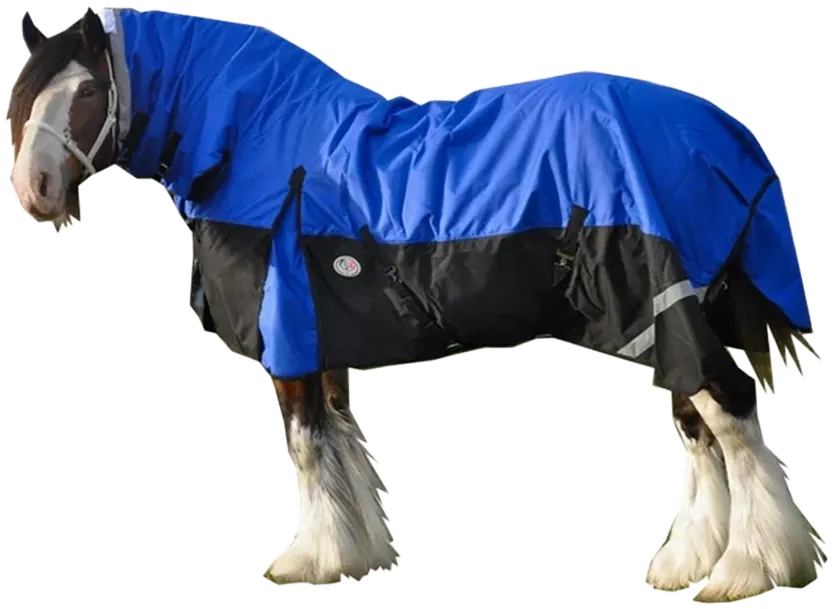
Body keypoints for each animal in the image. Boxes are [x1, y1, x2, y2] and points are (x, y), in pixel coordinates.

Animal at [8, 8, 829, 601]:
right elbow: (340, 444)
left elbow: (307, 448)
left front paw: (303, 562)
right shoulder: (324, 341)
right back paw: (687, 562)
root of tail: (722, 131)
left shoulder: (289, 338)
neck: (259, 142)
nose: (35, 191)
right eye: (22, 99)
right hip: (670, 319)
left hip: (661, 306)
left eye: (86, 93)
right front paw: (356, 553)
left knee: (727, 409)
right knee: (700, 424)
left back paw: (749, 570)